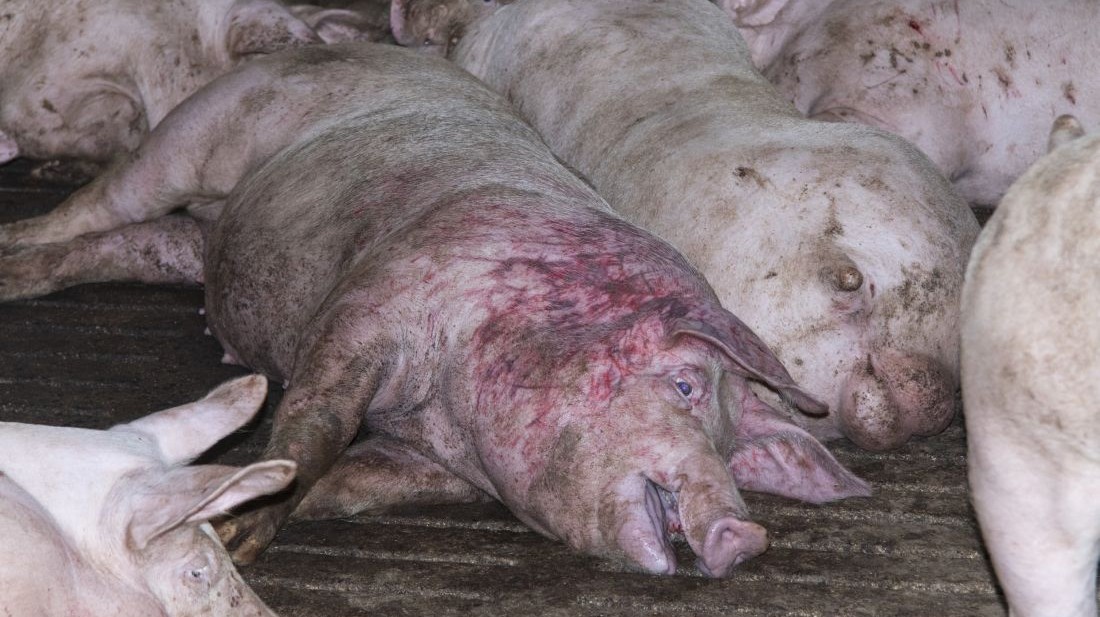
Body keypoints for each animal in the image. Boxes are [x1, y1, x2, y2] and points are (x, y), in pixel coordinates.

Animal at [0, 42, 869, 576]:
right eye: (686, 385)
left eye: (729, 444)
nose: (746, 532)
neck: (445, 409)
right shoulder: (368, 306)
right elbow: (316, 423)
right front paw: (244, 540)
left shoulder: (439, 468)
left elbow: (345, 483)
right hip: (199, 129)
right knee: (99, 203)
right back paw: (12, 251)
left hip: (203, 238)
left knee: (130, 244)